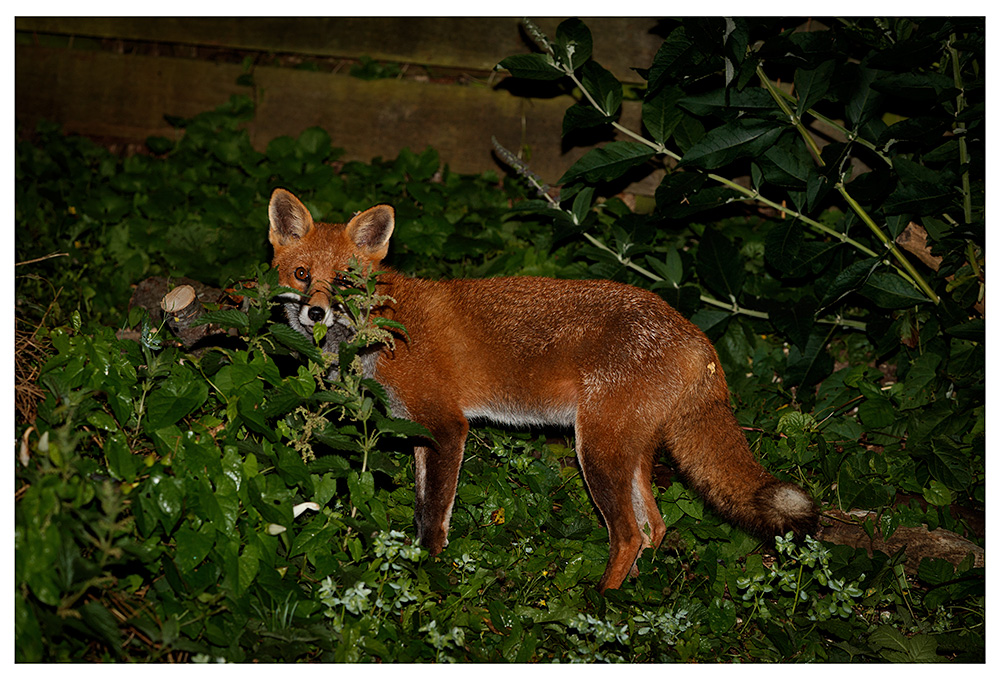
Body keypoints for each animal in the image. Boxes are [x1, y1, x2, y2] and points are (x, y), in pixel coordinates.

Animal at [267, 188, 818, 592]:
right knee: (655, 528)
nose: (316, 312)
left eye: (345, 280)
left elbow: (434, 519)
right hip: (628, 451)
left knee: (628, 534)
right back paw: (638, 597)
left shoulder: (447, 427)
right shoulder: (421, 433)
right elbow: (424, 508)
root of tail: (695, 334)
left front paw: (429, 574)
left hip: (596, 451)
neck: (383, 327)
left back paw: (601, 607)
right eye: (302, 274)